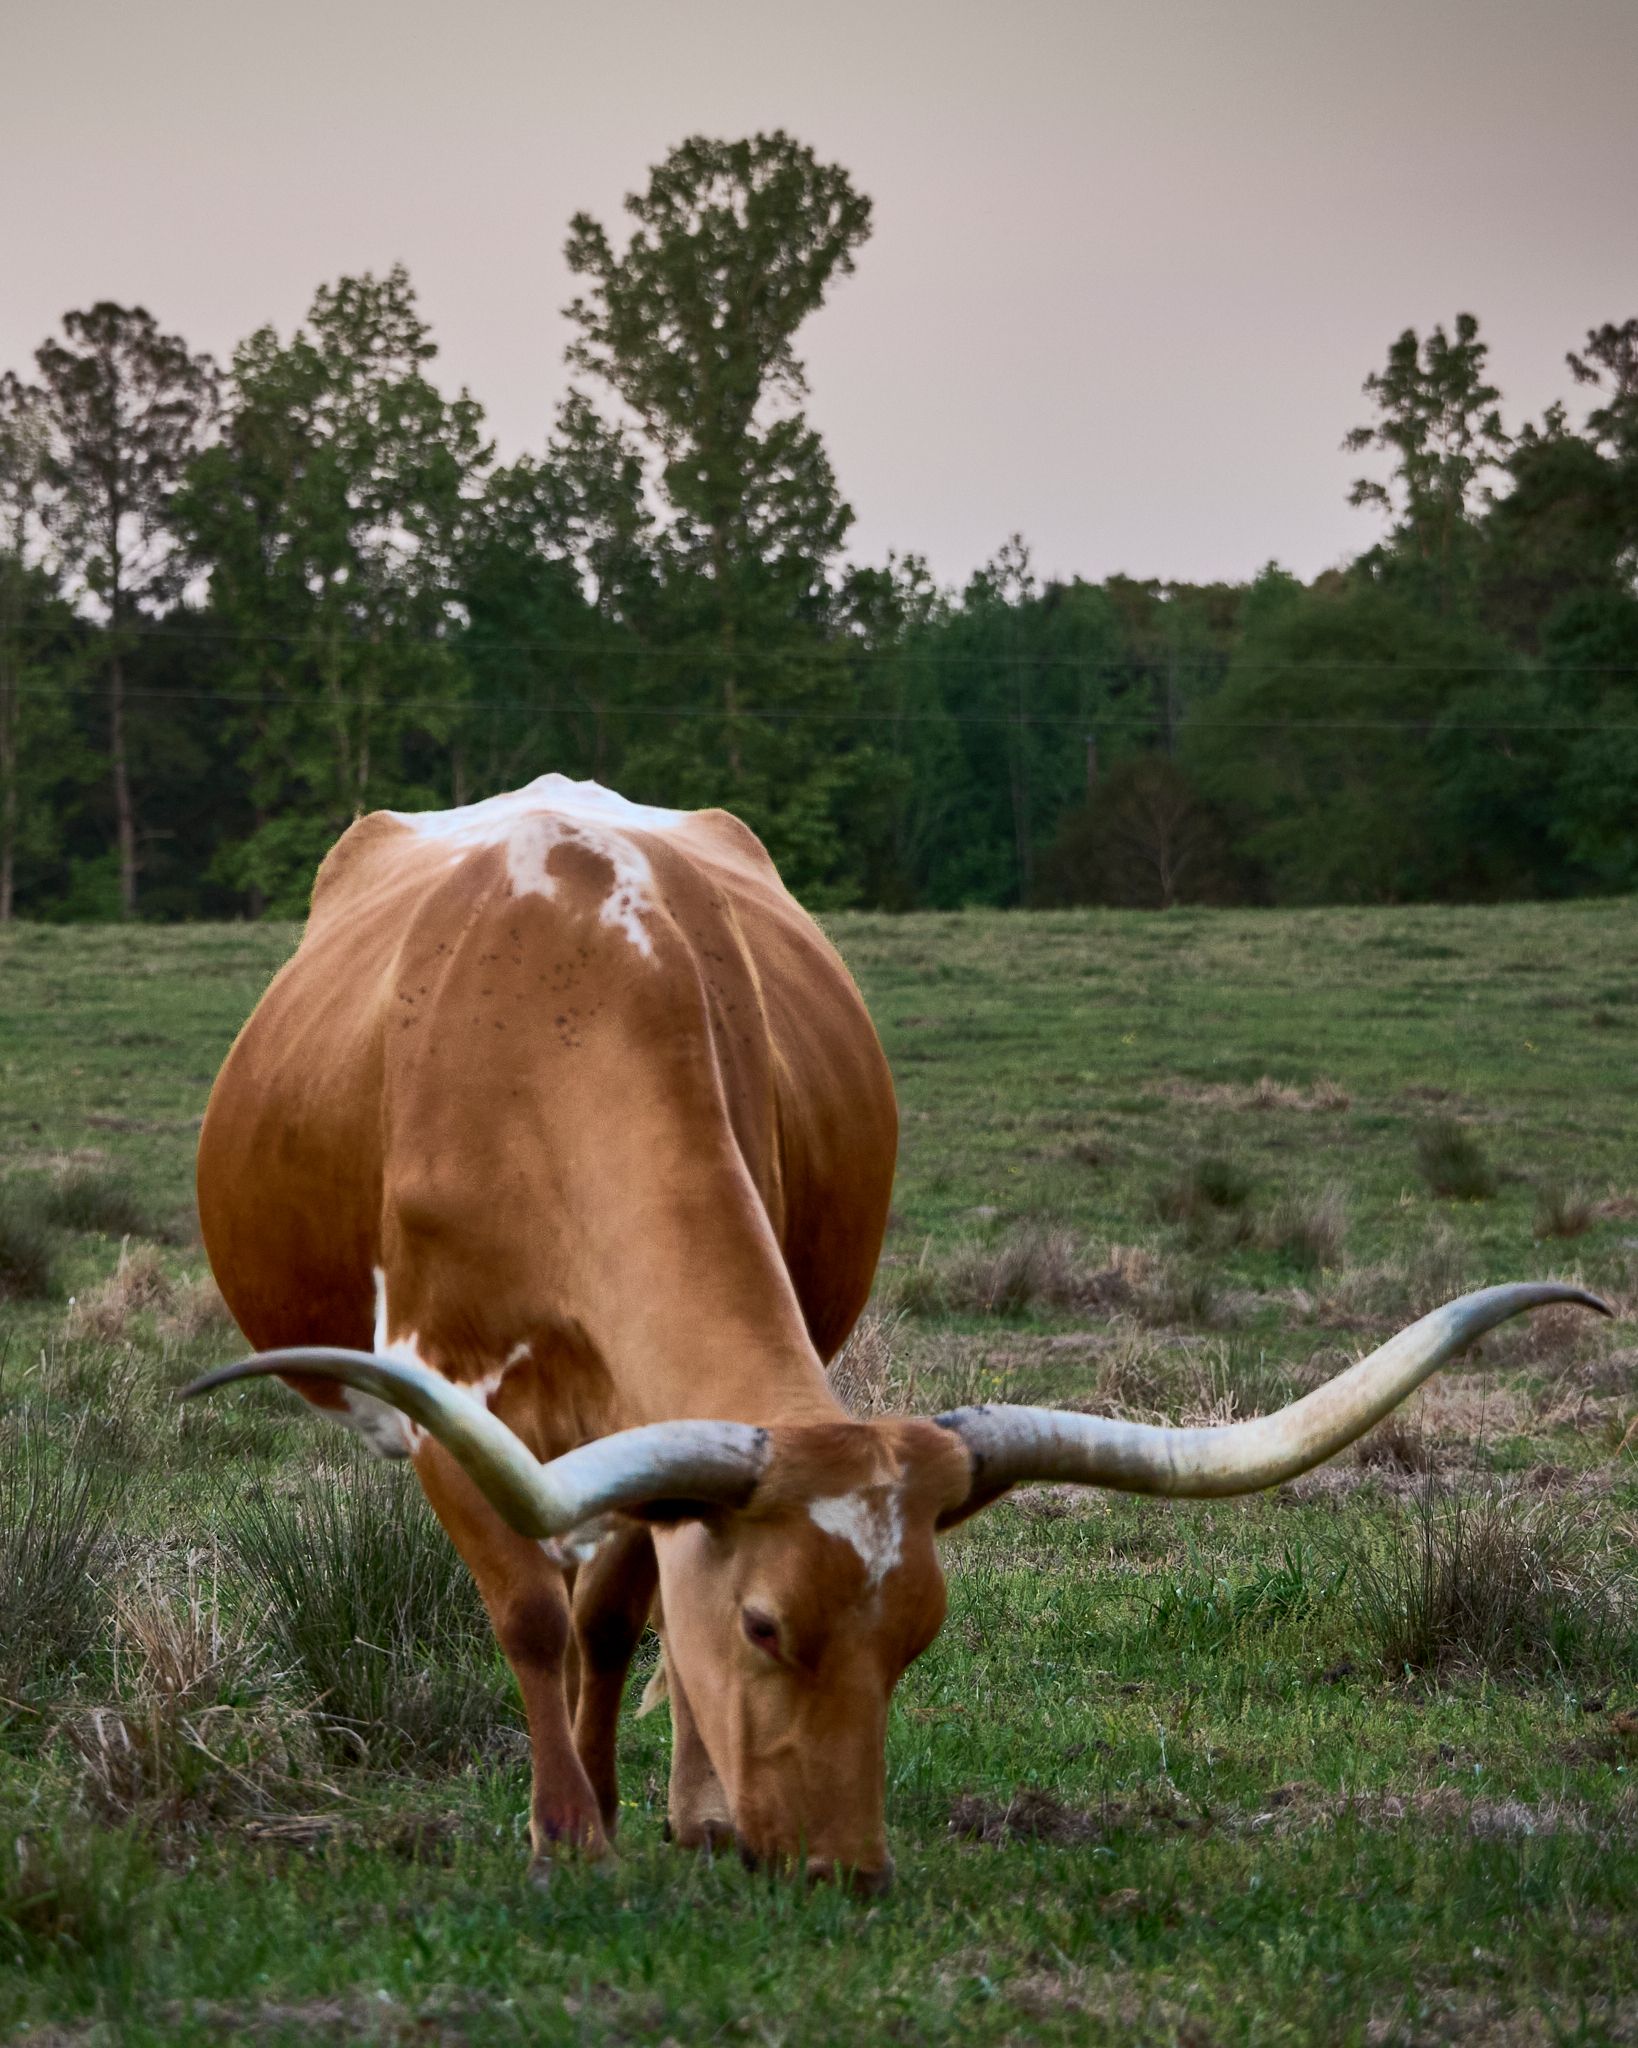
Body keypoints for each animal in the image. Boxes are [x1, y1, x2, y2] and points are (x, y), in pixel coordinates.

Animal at [187, 772, 1605, 1893]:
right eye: (766, 1626)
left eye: (917, 1636)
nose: (845, 1870)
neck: (558, 1011)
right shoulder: (443, 1407)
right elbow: (538, 1615)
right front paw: (565, 1833)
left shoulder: (657, 1424)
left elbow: (617, 1613)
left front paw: (662, 1810)